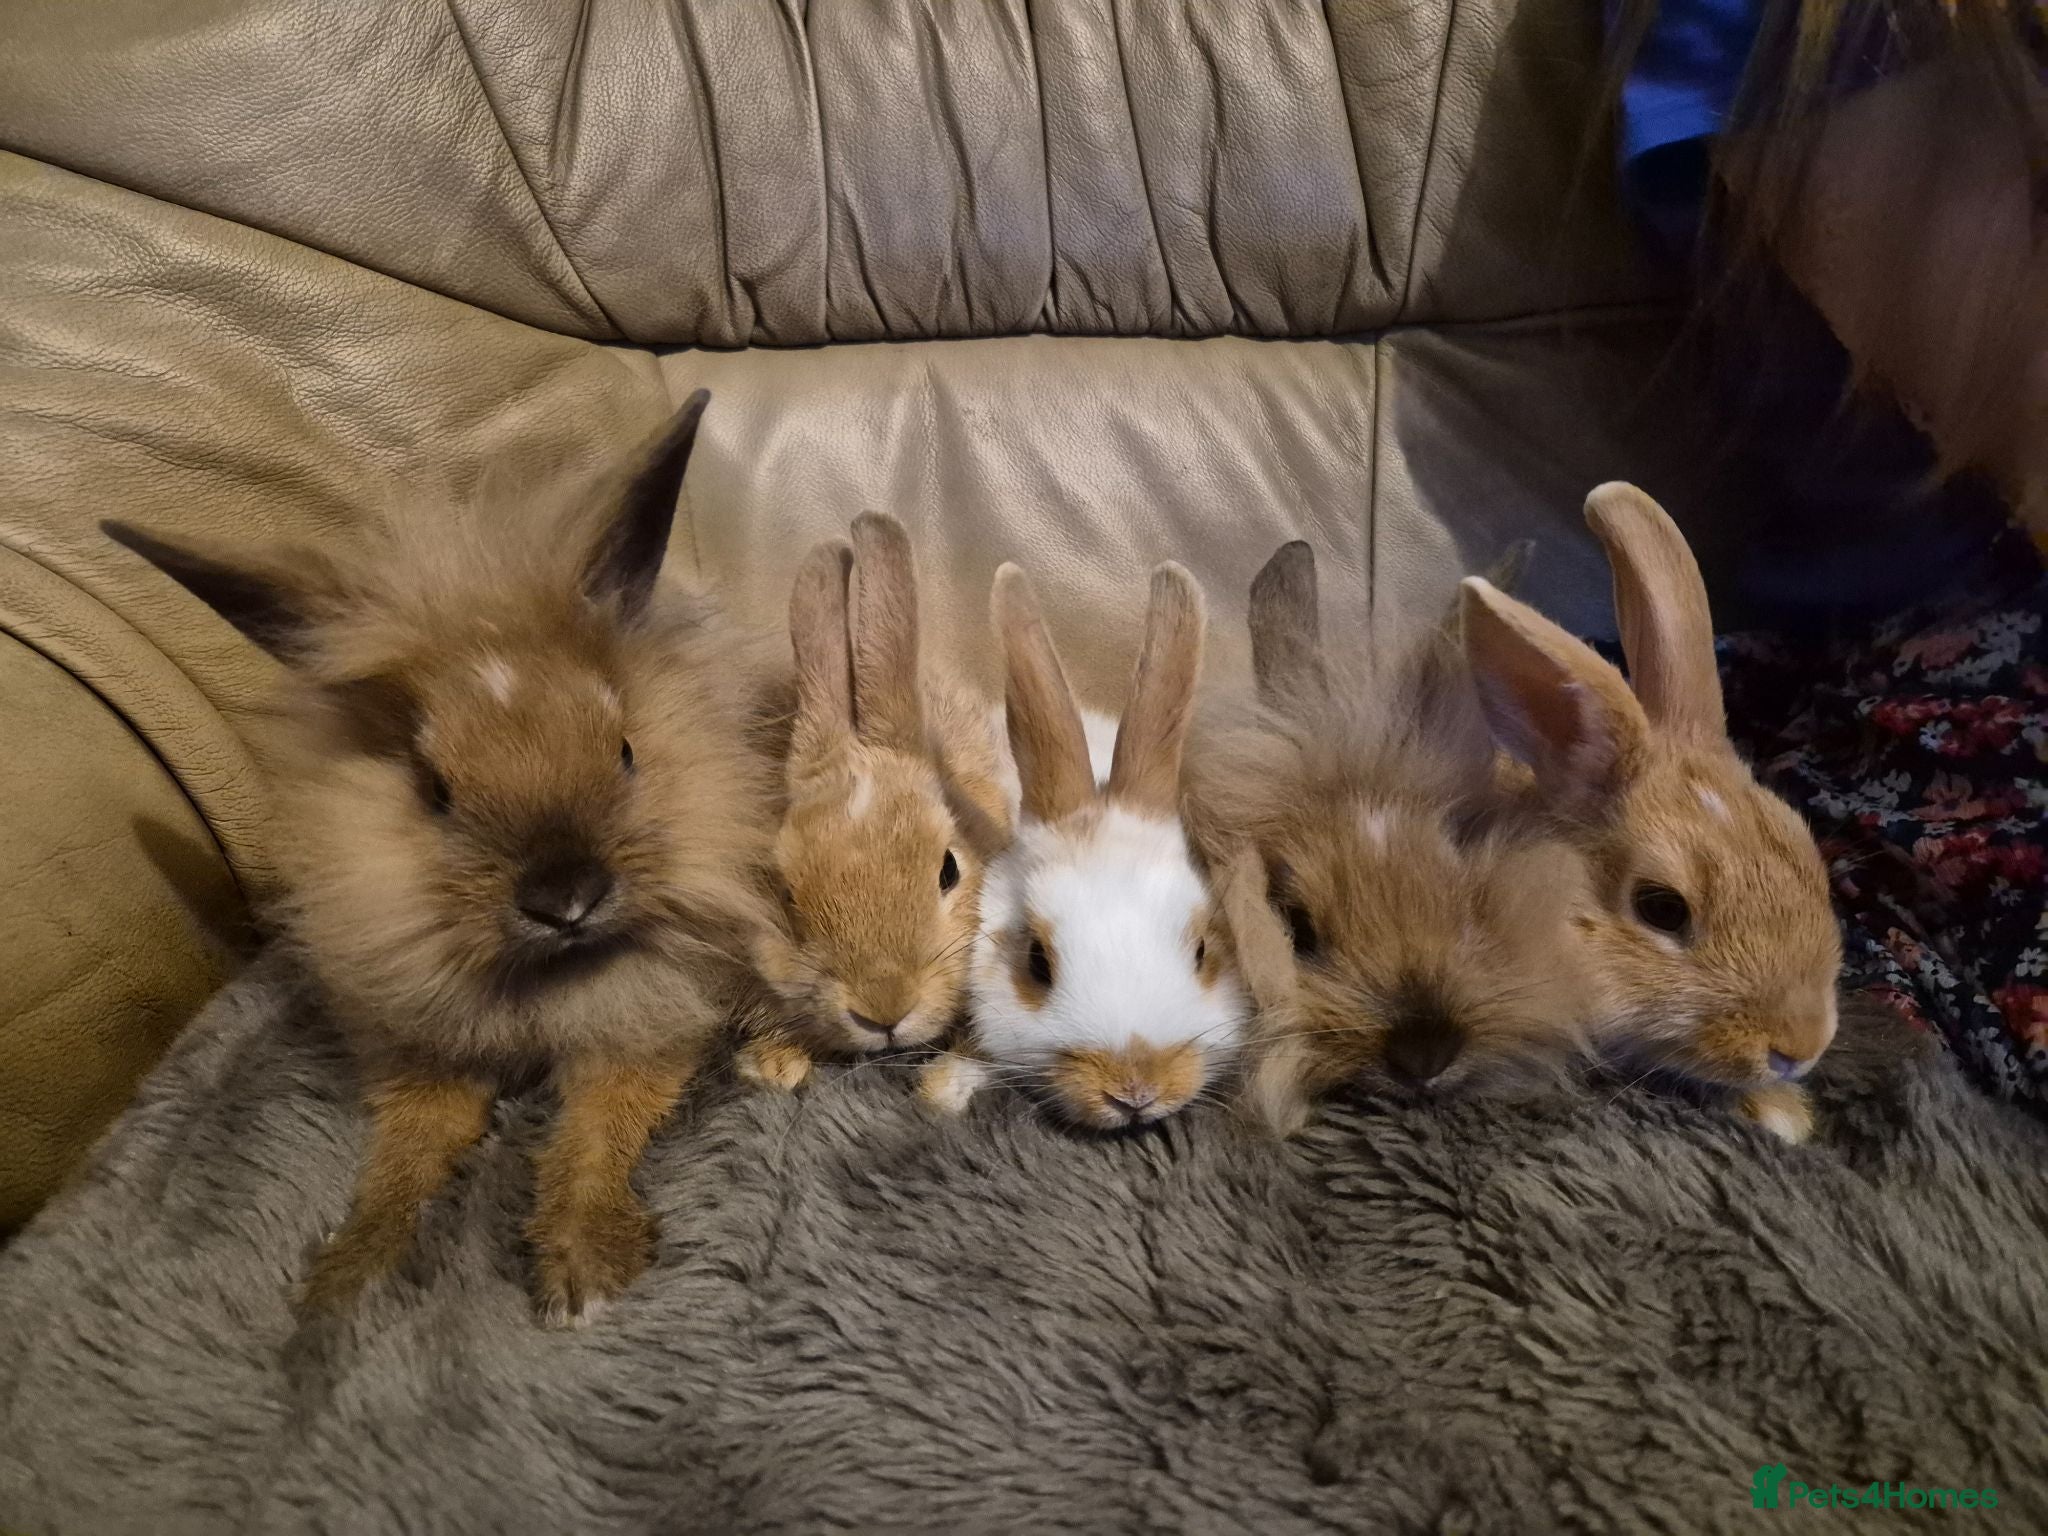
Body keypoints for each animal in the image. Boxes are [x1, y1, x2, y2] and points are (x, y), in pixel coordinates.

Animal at [103, 390, 785, 1323]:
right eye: (433, 790)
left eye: (624, 752)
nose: (566, 897)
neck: (545, 981)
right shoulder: (421, 1057)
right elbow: (409, 1153)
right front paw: (347, 1277)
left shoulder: (643, 1029)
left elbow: (596, 1132)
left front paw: (582, 1271)